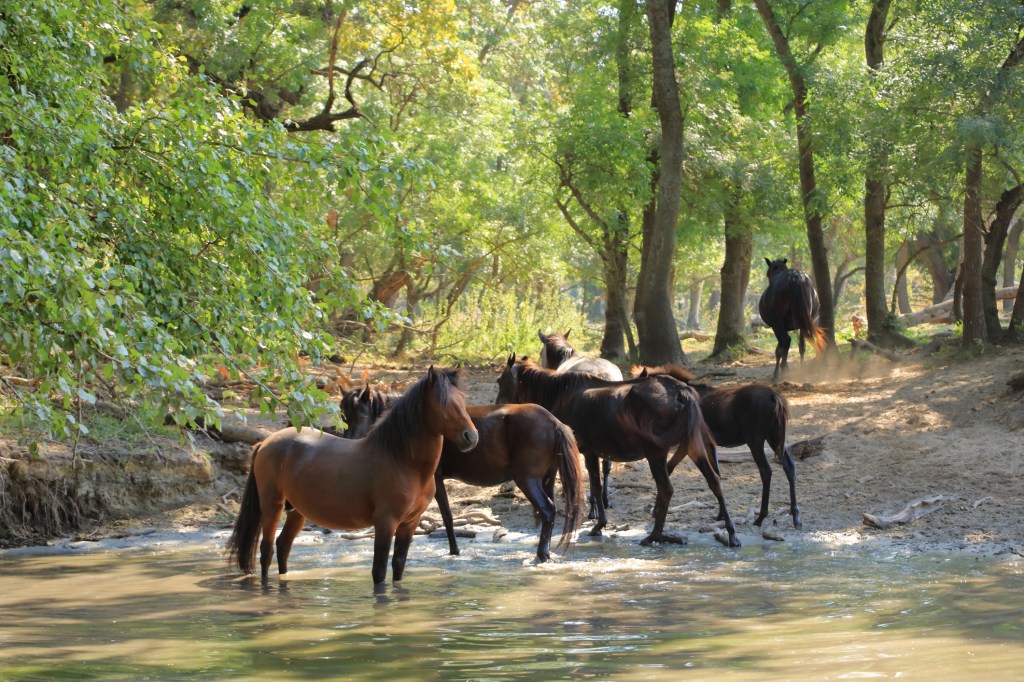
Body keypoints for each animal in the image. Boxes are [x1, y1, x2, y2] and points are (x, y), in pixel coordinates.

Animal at [226, 367, 479, 588]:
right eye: (443, 403)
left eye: (462, 400)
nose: (471, 437)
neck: (403, 461)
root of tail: (265, 442)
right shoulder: (385, 523)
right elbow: (379, 571)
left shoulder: (410, 523)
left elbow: (398, 566)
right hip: (272, 506)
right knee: (266, 551)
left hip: (297, 511)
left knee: (283, 547)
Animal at [342, 385, 585, 563]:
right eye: (344, 415)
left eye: (361, 415)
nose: (349, 444)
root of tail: (554, 422)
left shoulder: (434, 480)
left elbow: (447, 517)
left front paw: (454, 550)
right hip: (546, 479)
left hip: (528, 480)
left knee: (548, 510)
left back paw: (542, 555)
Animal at [496, 354, 740, 547]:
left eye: (500, 380)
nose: (500, 407)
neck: (561, 395)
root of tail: (682, 393)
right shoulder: (593, 452)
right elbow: (595, 486)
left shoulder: (586, 451)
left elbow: (594, 487)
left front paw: (598, 525)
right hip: (693, 444)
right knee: (714, 481)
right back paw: (731, 533)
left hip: (657, 452)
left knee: (667, 489)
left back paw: (654, 535)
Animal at [635, 365, 801, 529]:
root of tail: (775, 397)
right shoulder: (709, 444)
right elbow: (717, 474)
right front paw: (721, 514)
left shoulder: (688, 442)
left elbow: (669, 468)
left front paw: (656, 510)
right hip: (775, 438)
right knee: (789, 466)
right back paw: (796, 517)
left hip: (756, 441)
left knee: (766, 471)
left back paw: (761, 517)